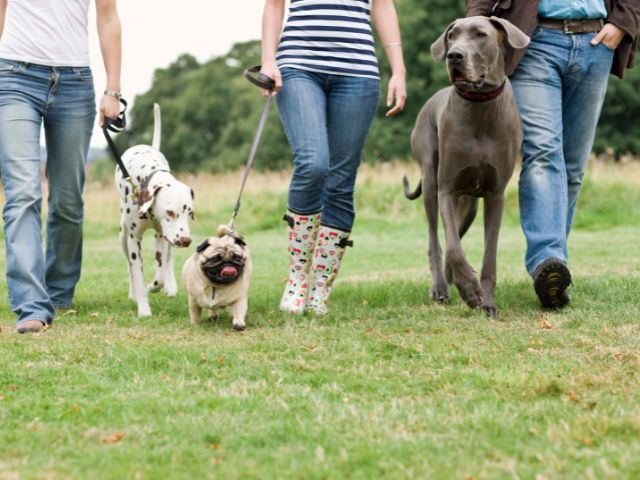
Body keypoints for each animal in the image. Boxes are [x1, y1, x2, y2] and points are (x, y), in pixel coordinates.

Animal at [115, 103, 194, 316]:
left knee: (168, 260)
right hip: (123, 237)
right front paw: (143, 308)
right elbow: (137, 273)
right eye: (170, 212)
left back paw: (171, 284)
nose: (186, 240)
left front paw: (156, 285)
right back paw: (133, 293)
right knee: (128, 266)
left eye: (189, 213)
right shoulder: (134, 240)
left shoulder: (162, 235)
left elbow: (160, 272)